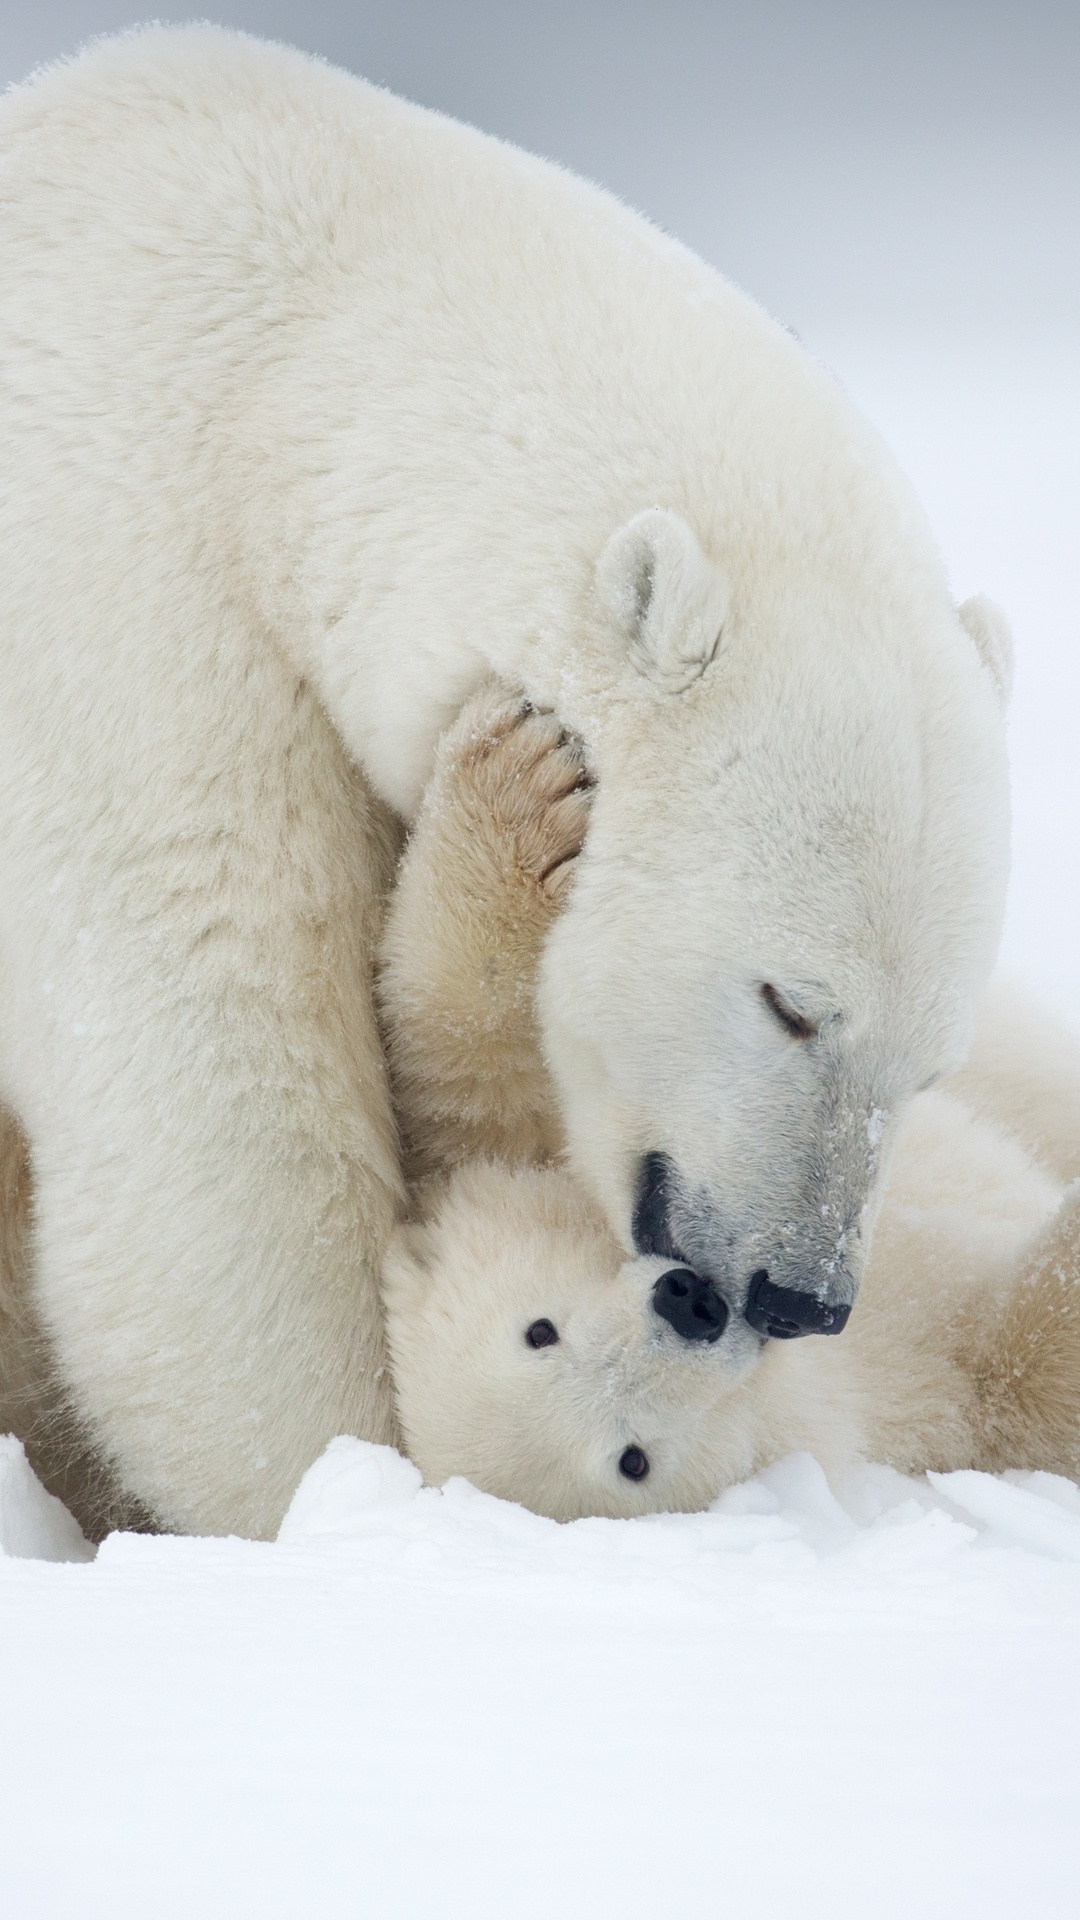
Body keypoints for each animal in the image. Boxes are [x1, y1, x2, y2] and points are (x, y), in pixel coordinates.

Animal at [2, 30, 1006, 1536]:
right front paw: (355, 1476)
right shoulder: (127, 619)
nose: (801, 1293)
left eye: (931, 1059)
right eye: (791, 1003)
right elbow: (216, 1081)